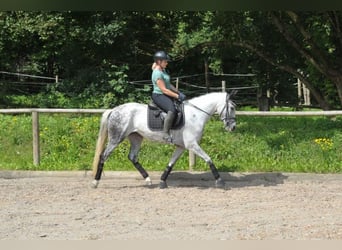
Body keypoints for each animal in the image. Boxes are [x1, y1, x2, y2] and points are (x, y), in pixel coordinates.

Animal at [90, 91, 238, 188]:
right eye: (231, 107)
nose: (233, 127)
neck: (196, 114)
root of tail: (113, 110)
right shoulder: (192, 145)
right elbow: (209, 159)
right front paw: (220, 181)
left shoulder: (182, 146)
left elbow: (171, 163)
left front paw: (162, 181)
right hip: (116, 138)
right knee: (103, 156)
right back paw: (95, 182)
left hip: (136, 137)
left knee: (132, 157)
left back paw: (148, 180)